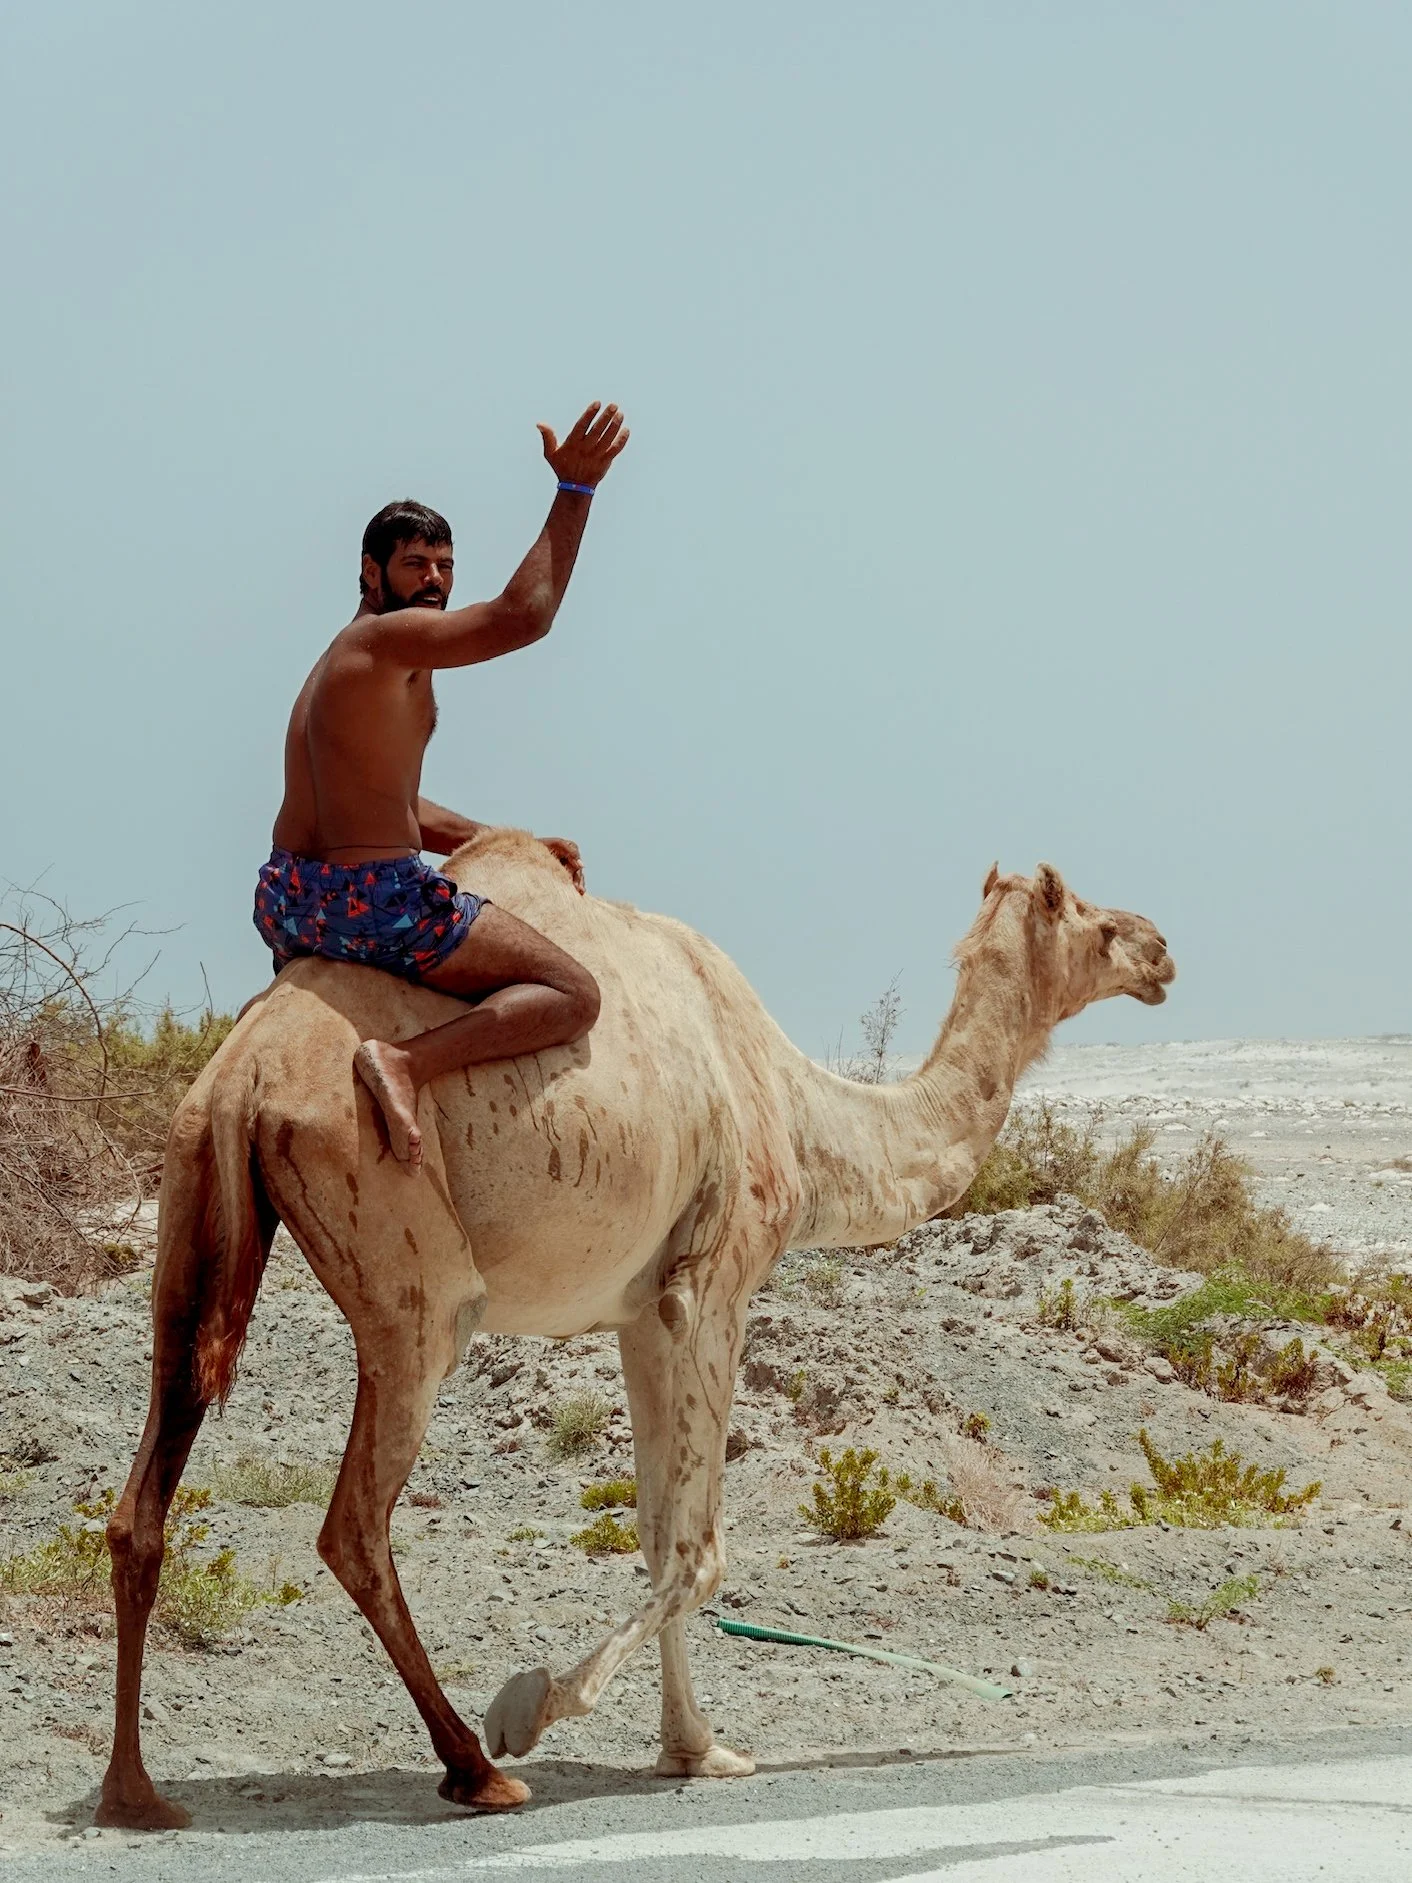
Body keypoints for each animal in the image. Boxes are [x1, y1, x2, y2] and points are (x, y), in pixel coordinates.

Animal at [98, 831, 1174, 1829]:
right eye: (1087, 915)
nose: (1161, 946)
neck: (797, 1110)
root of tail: (241, 1076)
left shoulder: (640, 1311)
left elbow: (660, 1536)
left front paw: (696, 1748)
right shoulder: (714, 1286)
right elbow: (700, 1550)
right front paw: (531, 1704)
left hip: (191, 1215)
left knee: (141, 1496)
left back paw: (133, 1791)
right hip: (410, 1276)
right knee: (354, 1520)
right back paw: (476, 1765)